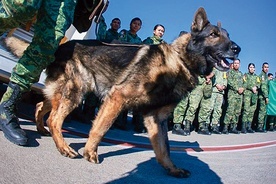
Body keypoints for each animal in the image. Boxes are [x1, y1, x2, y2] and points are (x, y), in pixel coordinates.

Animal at [5, 7, 240, 178]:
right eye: (213, 35)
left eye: (228, 36)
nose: (237, 49)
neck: (179, 60)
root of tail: (59, 47)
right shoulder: (117, 98)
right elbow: (100, 129)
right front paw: (90, 152)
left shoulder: (156, 118)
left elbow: (164, 148)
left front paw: (172, 169)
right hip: (76, 92)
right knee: (54, 118)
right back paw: (63, 147)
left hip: (64, 92)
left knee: (41, 105)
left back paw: (42, 130)